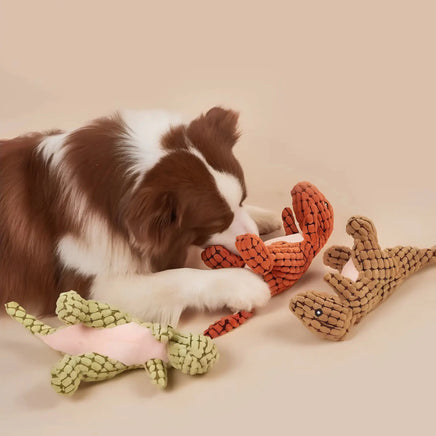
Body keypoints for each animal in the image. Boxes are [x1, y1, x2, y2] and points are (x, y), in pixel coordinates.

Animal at [0, 105, 280, 324]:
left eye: (243, 198)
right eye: (217, 223)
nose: (256, 240)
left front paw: (265, 216)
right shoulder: (84, 288)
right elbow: (178, 277)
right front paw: (242, 284)